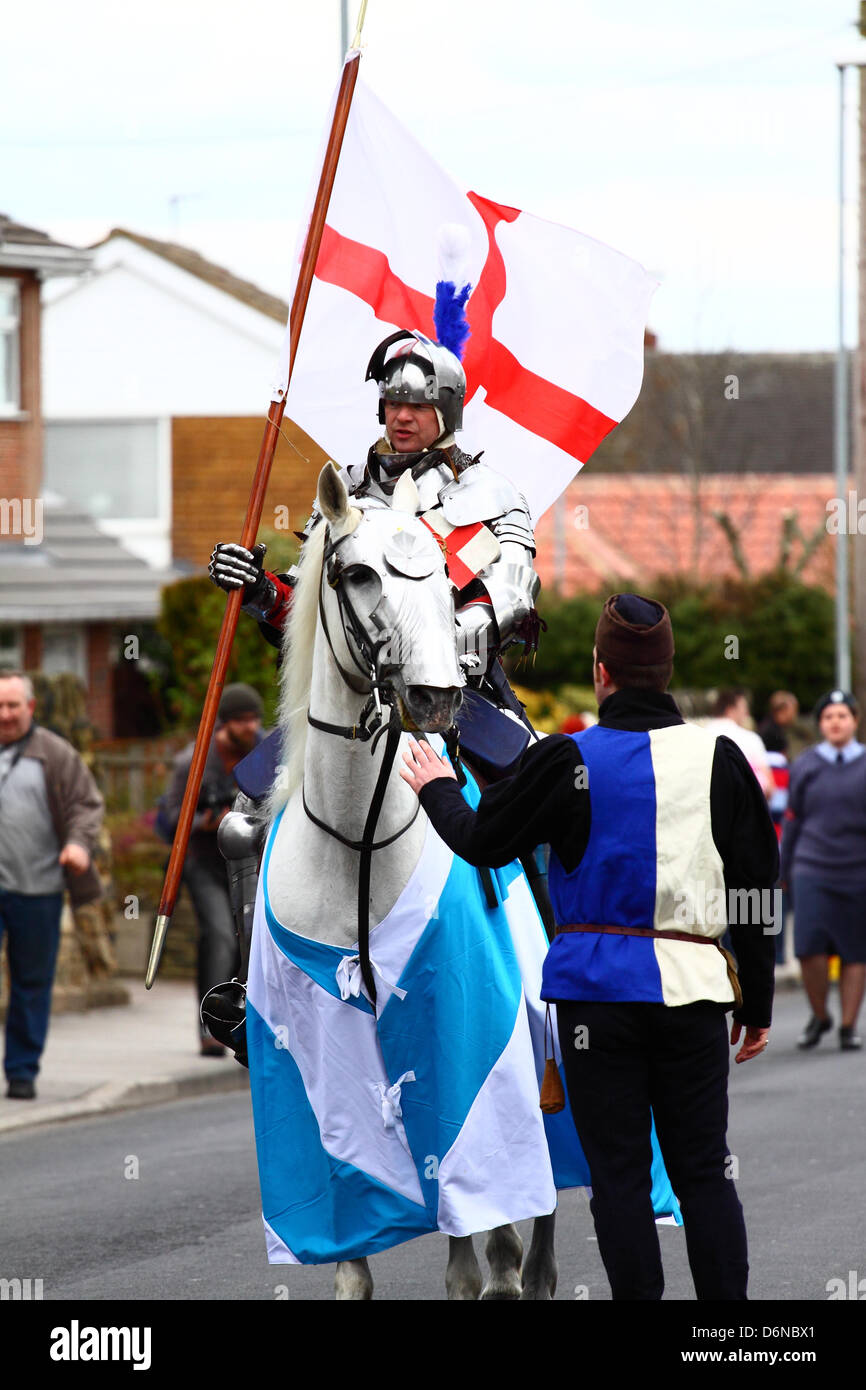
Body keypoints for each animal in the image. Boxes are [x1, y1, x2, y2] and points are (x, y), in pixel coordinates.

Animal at [244, 467, 558, 1301]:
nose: (435, 698)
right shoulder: (319, 1069)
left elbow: (494, 1249)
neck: (357, 840)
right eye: (357, 574)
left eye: (447, 587)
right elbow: (353, 1264)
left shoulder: (470, 1060)